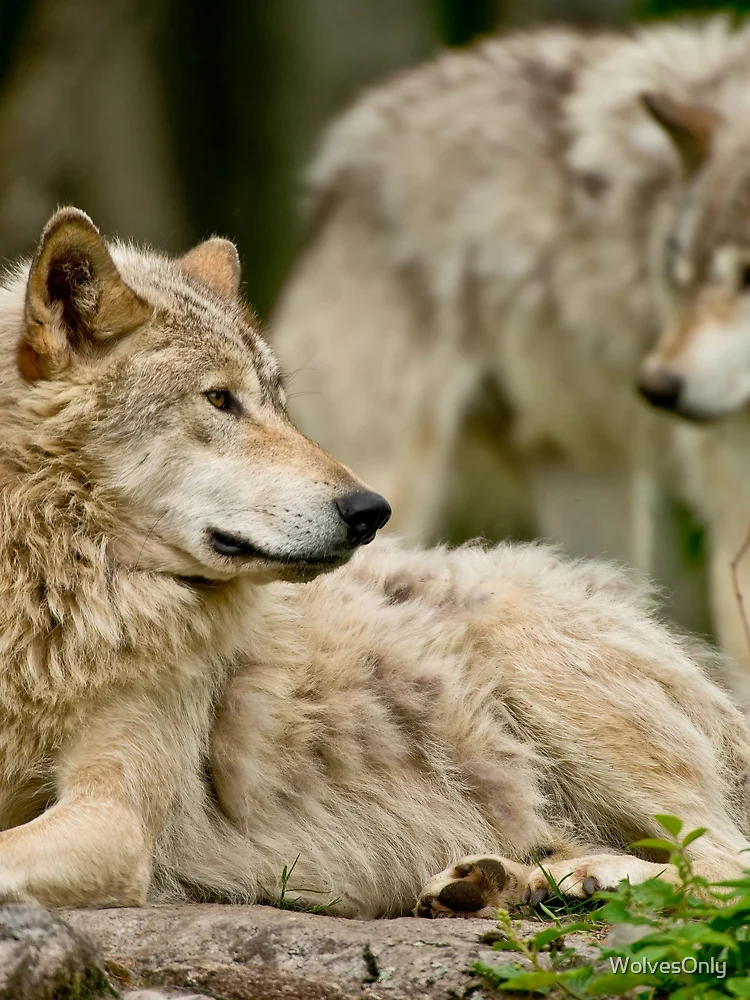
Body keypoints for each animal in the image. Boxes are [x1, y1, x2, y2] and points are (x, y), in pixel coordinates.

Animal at [1, 208, 749, 918]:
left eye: (279, 403)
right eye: (219, 399)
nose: (370, 511)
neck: (48, 593)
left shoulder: (115, 819)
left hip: (535, 658)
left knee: (723, 869)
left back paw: (583, 881)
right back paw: (503, 882)